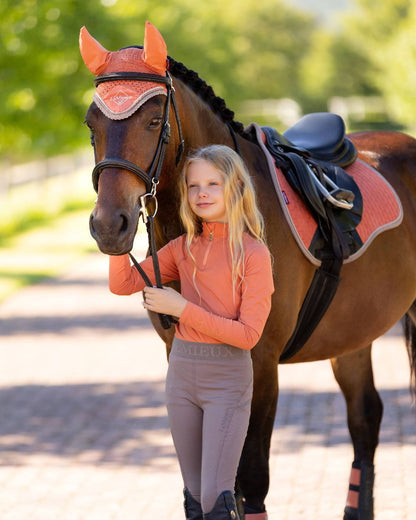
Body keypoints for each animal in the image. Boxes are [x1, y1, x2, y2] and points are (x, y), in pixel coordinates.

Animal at [79, 22, 416, 516]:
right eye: (92, 124)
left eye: (155, 121)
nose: (109, 224)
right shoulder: (178, 355)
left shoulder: (260, 362)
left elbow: (250, 479)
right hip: (353, 335)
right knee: (365, 419)